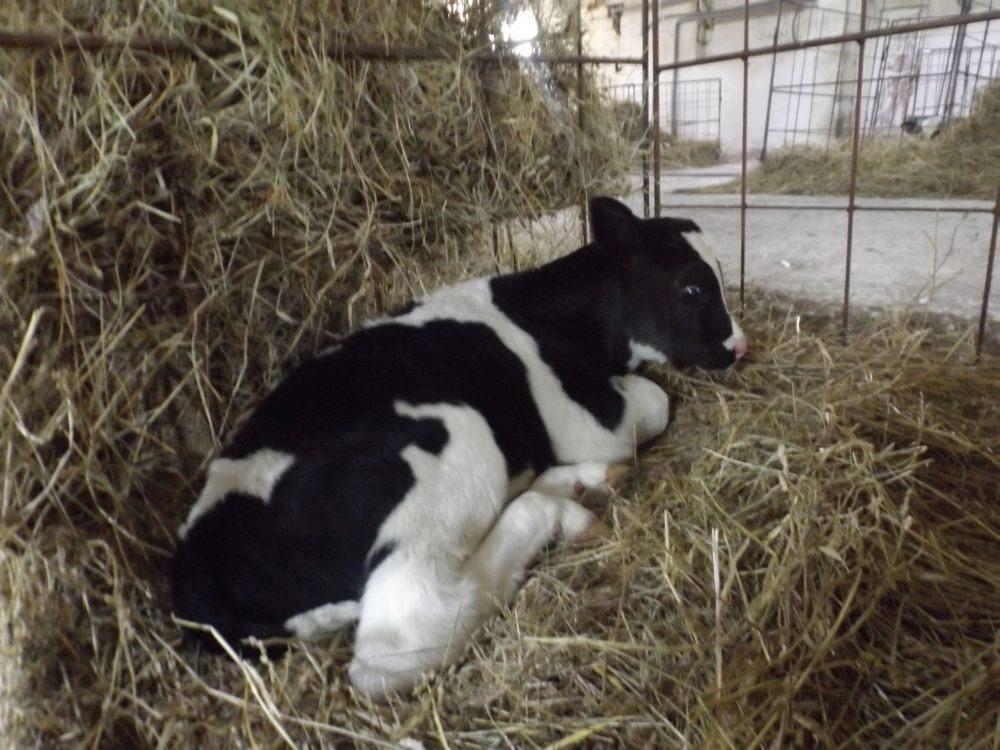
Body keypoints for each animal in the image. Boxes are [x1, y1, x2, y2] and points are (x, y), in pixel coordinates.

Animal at [172, 198, 748, 700]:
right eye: (693, 288)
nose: (740, 346)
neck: (550, 312)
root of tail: (197, 580)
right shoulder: (584, 416)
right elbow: (654, 402)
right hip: (455, 434)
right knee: (401, 637)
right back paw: (560, 513)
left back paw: (578, 482)